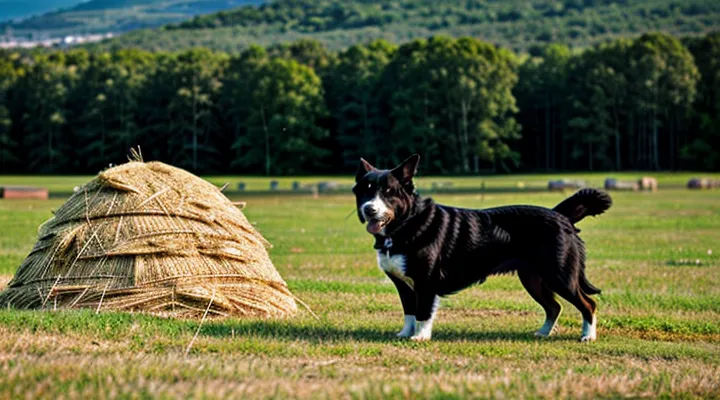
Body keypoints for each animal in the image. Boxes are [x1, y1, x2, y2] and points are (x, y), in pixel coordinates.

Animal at [352, 155, 612, 342]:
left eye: (388, 193)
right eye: (365, 191)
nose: (369, 209)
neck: (407, 223)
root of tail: (560, 215)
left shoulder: (426, 282)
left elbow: (423, 312)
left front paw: (420, 337)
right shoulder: (404, 284)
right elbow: (409, 311)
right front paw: (405, 334)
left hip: (560, 275)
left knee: (588, 304)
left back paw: (588, 336)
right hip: (533, 278)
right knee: (554, 307)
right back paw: (543, 333)